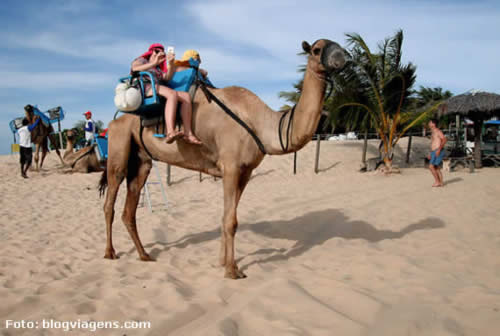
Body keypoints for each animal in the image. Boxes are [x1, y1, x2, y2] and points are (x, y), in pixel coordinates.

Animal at [99, 39, 346, 280]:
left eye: (339, 44)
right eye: (316, 49)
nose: (342, 57)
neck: (259, 123)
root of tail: (113, 122)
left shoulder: (246, 171)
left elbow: (227, 216)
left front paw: (221, 262)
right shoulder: (231, 166)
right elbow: (231, 221)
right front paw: (232, 270)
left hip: (141, 161)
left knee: (129, 210)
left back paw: (144, 255)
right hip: (118, 148)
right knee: (110, 202)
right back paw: (110, 252)